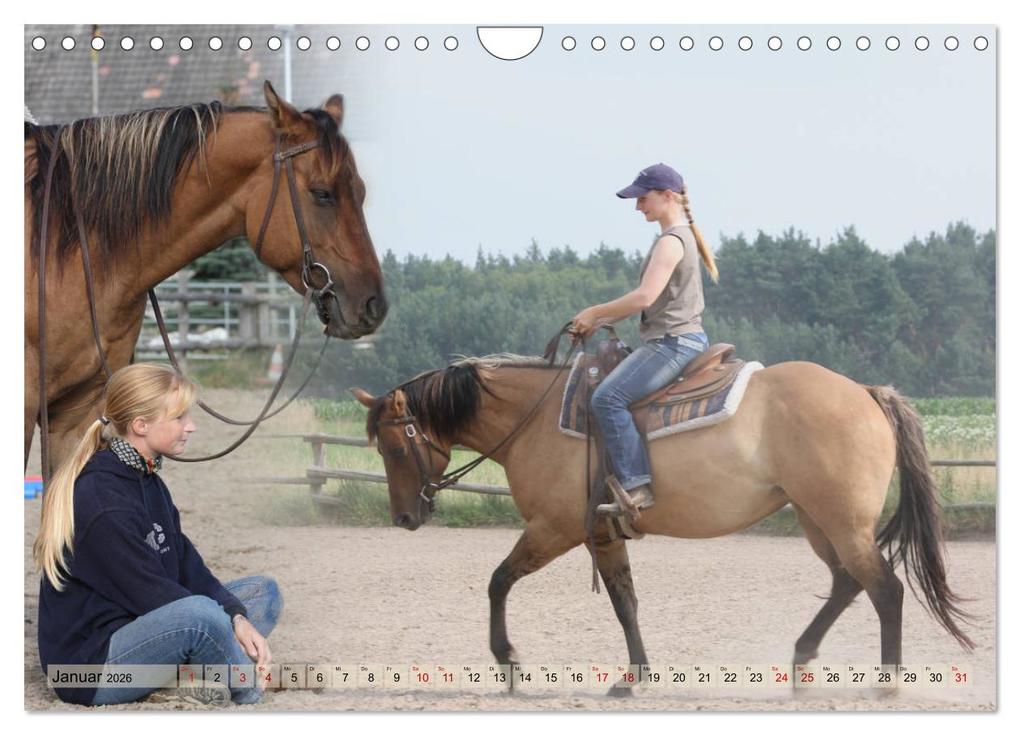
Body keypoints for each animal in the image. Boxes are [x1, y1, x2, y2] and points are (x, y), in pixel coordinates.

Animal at [352, 355, 974, 695]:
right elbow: (625, 602)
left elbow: (499, 580)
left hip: (841, 521)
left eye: (394, 446)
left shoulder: (555, 529)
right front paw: (636, 676)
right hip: (817, 519)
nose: (404, 517)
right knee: (848, 584)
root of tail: (866, 393)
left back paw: (886, 683)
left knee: (885, 589)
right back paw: (800, 661)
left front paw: (507, 659)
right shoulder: (600, 534)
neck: (539, 418)